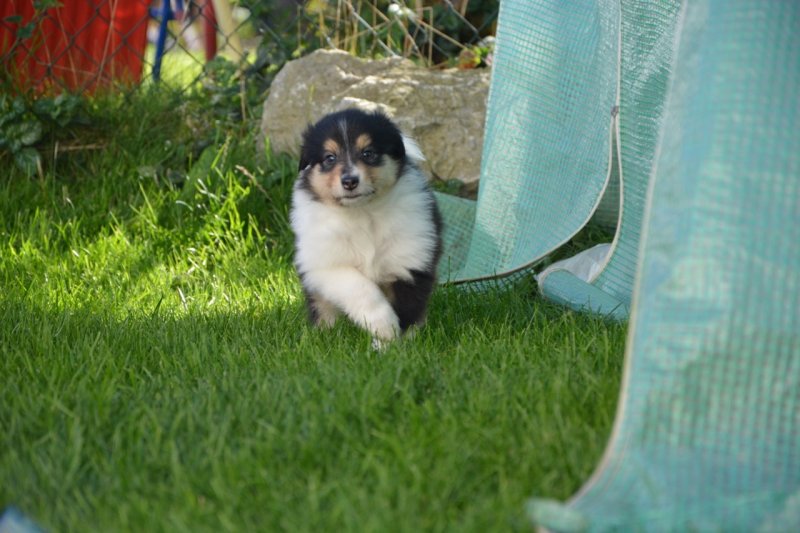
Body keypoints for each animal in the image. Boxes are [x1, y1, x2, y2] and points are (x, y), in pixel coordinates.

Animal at [290, 108, 442, 344]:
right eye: (329, 158)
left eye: (368, 153)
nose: (350, 181)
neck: (362, 213)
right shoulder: (322, 263)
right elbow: (358, 287)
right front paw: (384, 326)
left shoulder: (409, 259)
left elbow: (408, 308)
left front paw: (394, 343)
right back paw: (323, 335)